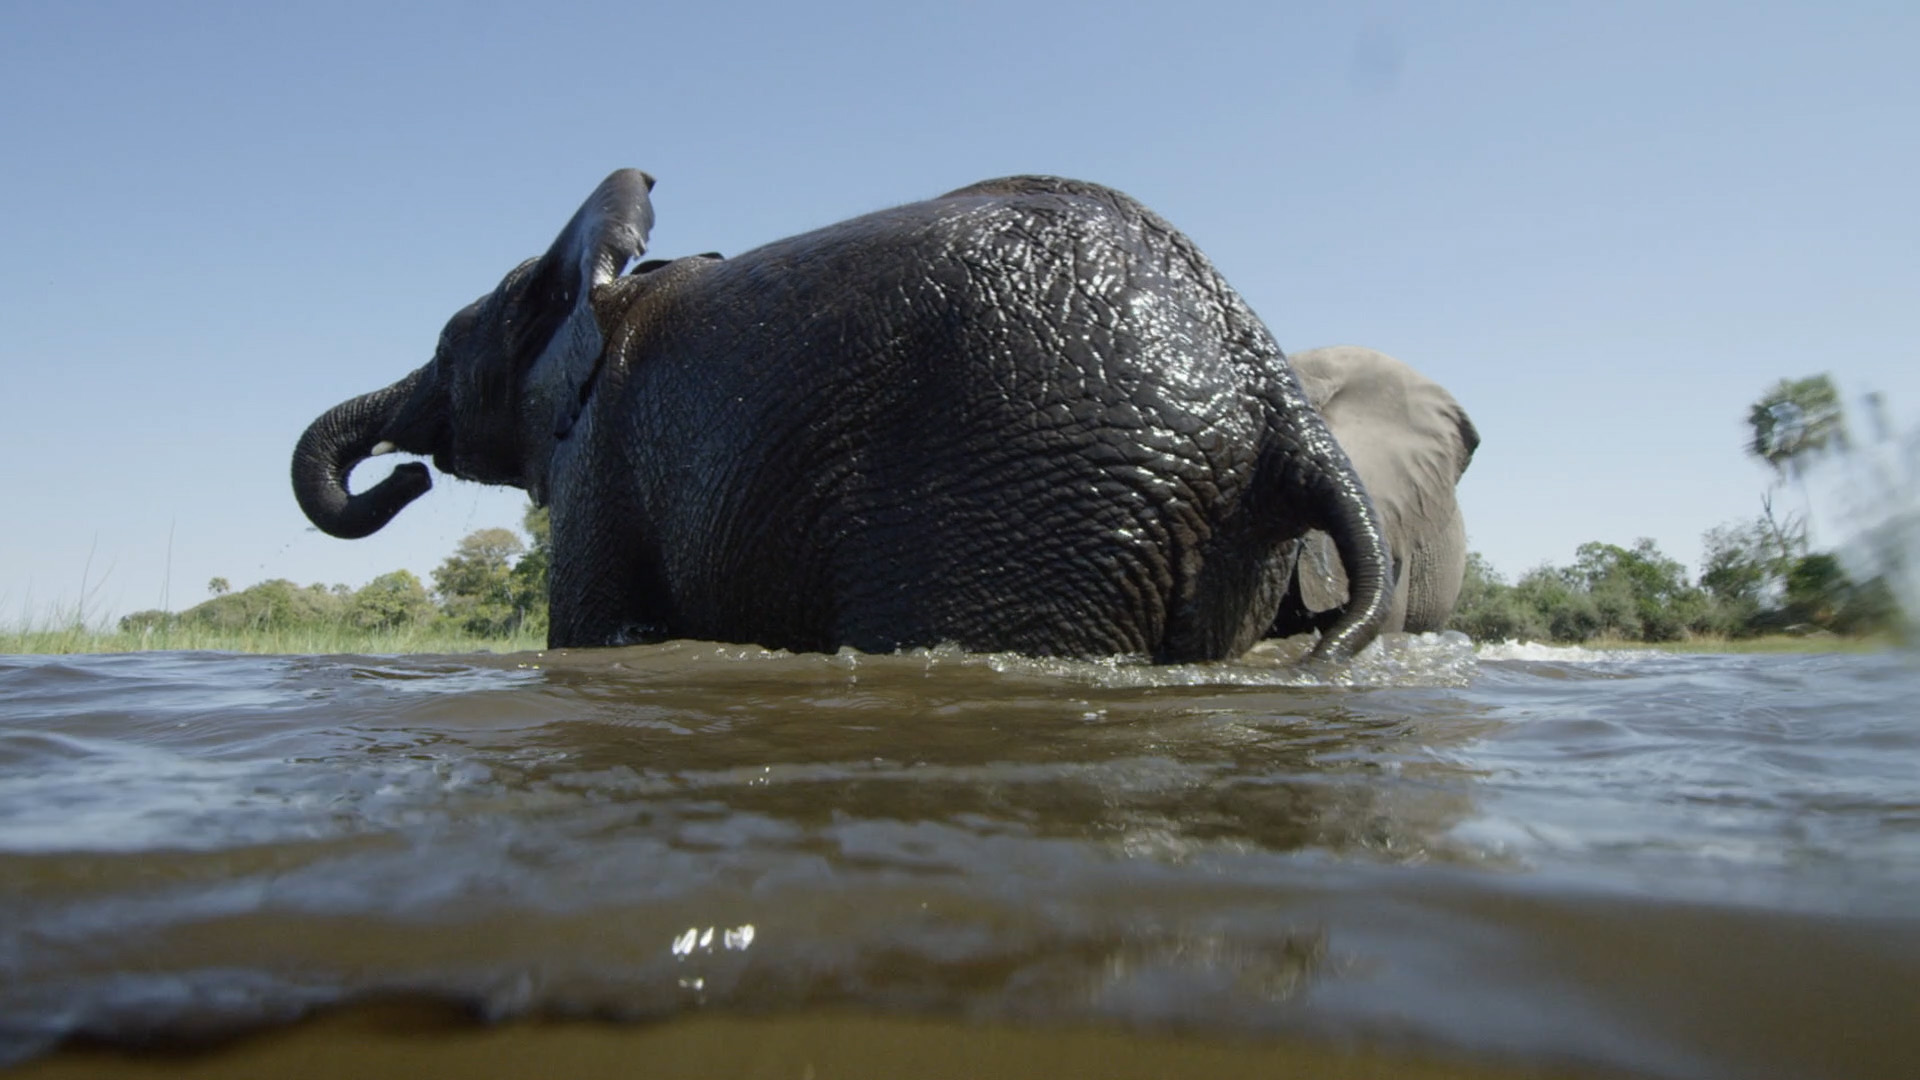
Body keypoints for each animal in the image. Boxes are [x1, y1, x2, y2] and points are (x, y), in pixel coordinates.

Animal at [292, 170, 1394, 662]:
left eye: (447, 352)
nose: (406, 473)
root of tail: (1274, 388)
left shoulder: (600, 455)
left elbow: (591, 627)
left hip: (1043, 494)